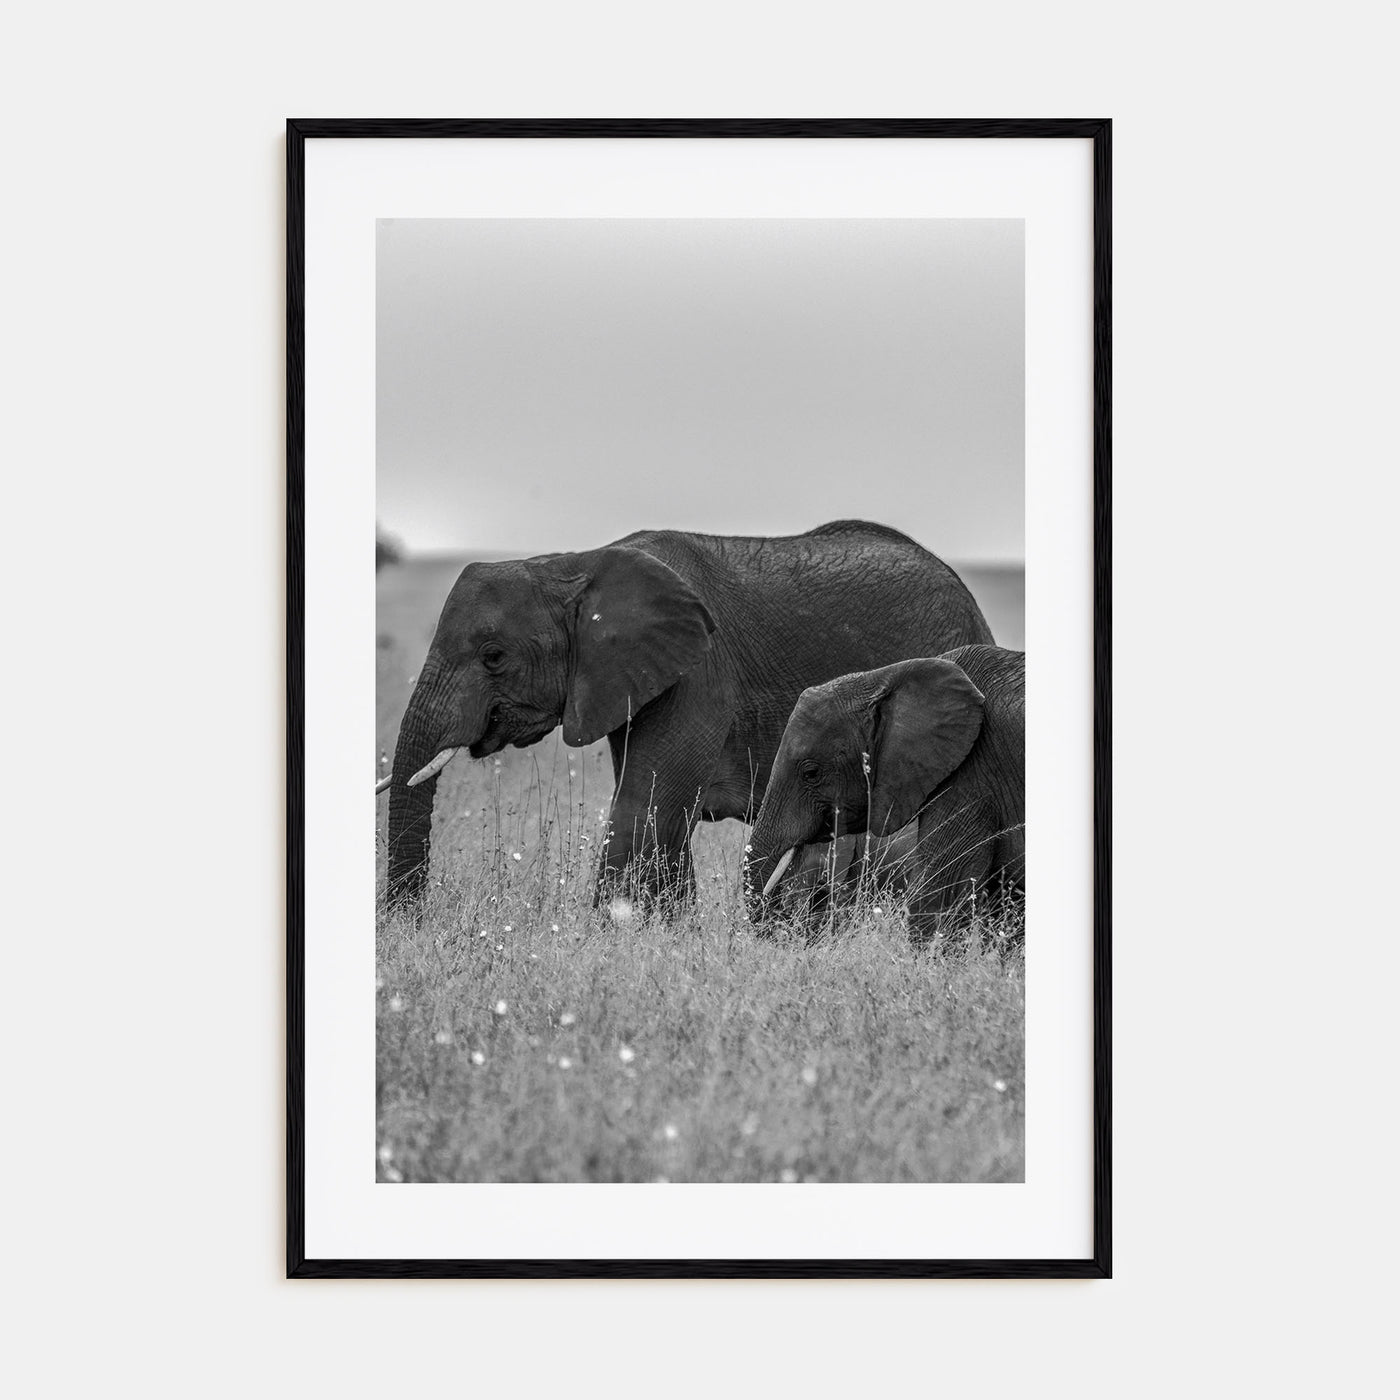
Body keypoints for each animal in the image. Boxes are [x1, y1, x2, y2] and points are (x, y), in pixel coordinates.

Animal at [379, 521, 994, 910]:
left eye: (493, 656)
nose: (411, 922)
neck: (575, 565)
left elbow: (643, 807)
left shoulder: (698, 672)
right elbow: (661, 813)